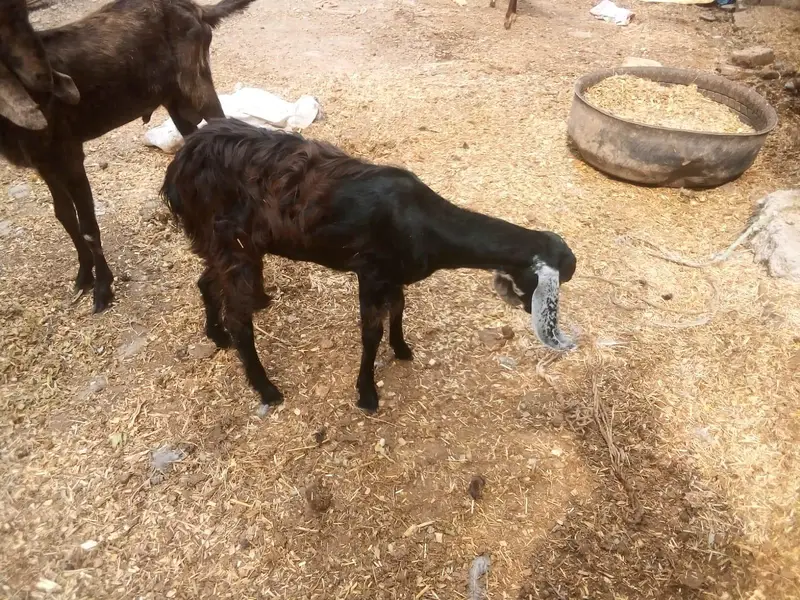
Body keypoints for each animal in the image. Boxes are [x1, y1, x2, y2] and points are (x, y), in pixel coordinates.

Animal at [0, 0, 256, 313]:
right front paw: (83, 277)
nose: (48, 82)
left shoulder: (70, 155)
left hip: (197, 84)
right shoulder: (45, 163)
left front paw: (102, 289)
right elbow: (65, 216)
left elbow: (87, 226)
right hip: (173, 99)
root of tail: (195, 9)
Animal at [161, 118, 577, 414]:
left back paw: (216, 335)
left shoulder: (393, 274)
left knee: (206, 282)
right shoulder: (371, 272)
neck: (421, 221)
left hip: (221, 242)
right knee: (238, 317)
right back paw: (266, 387)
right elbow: (370, 333)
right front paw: (367, 394)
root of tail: (179, 166)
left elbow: (399, 309)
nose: (528, 310)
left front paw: (403, 348)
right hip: (232, 243)